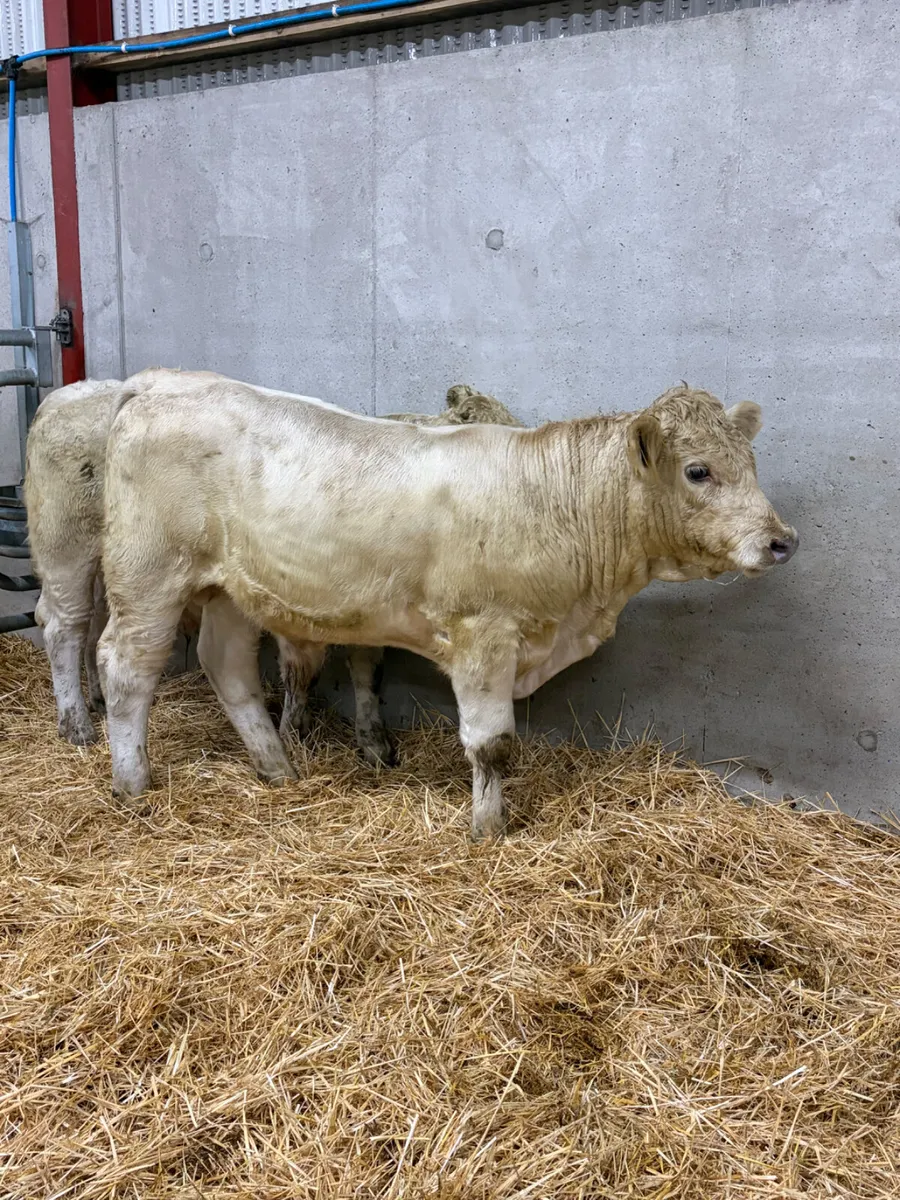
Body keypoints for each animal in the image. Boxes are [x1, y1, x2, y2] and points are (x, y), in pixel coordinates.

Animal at [24, 371, 522, 759]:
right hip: (68, 545)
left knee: (94, 627)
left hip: (115, 570)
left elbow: (367, 670)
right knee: (64, 625)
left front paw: (373, 743)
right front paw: (293, 732)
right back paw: (77, 724)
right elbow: (302, 671)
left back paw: (96, 701)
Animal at [95, 378, 798, 839]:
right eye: (699, 471)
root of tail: (159, 387)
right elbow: (492, 745)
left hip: (233, 588)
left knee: (228, 667)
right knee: (126, 667)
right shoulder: (483, 635)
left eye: (751, 461)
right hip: (148, 573)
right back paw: (133, 784)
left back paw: (278, 769)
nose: (781, 540)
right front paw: (489, 830)